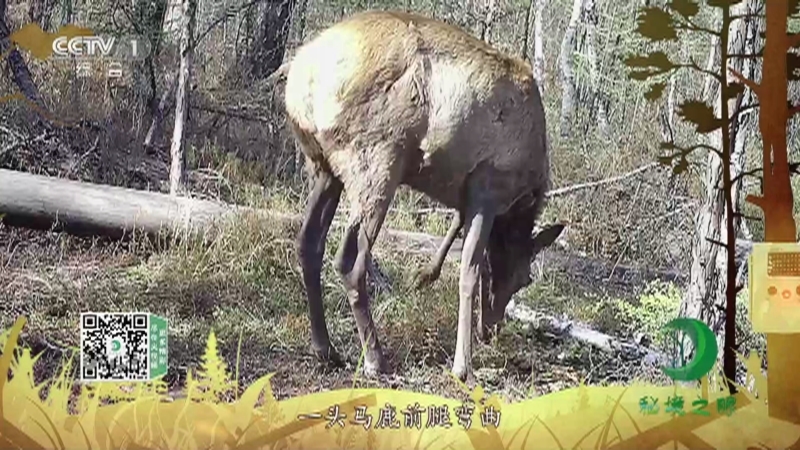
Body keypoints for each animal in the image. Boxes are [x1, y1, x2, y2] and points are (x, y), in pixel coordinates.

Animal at [283, 9, 565, 382]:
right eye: (524, 278)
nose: (492, 329)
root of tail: (299, 85)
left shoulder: (464, 195)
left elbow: (458, 241)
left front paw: (424, 276)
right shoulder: (488, 186)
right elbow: (469, 268)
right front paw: (463, 365)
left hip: (325, 169)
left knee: (308, 242)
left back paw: (326, 349)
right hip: (378, 162)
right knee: (349, 260)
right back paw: (375, 358)